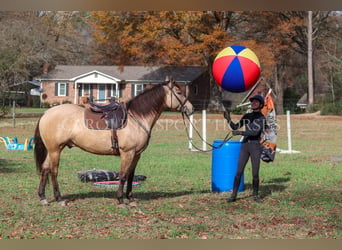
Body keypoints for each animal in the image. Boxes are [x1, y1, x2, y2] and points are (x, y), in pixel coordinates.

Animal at [33, 79, 194, 208]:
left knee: (45, 169)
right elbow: (122, 176)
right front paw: (121, 201)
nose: (191, 109)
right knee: (53, 171)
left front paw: (131, 199)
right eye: (179, 92)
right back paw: (59, 199)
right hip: (55, 150)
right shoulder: (127, 153)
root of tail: (46, 113)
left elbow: (130, 175)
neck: (137, 118)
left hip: (52, 150)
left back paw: (43, 197)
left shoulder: (136, 155)